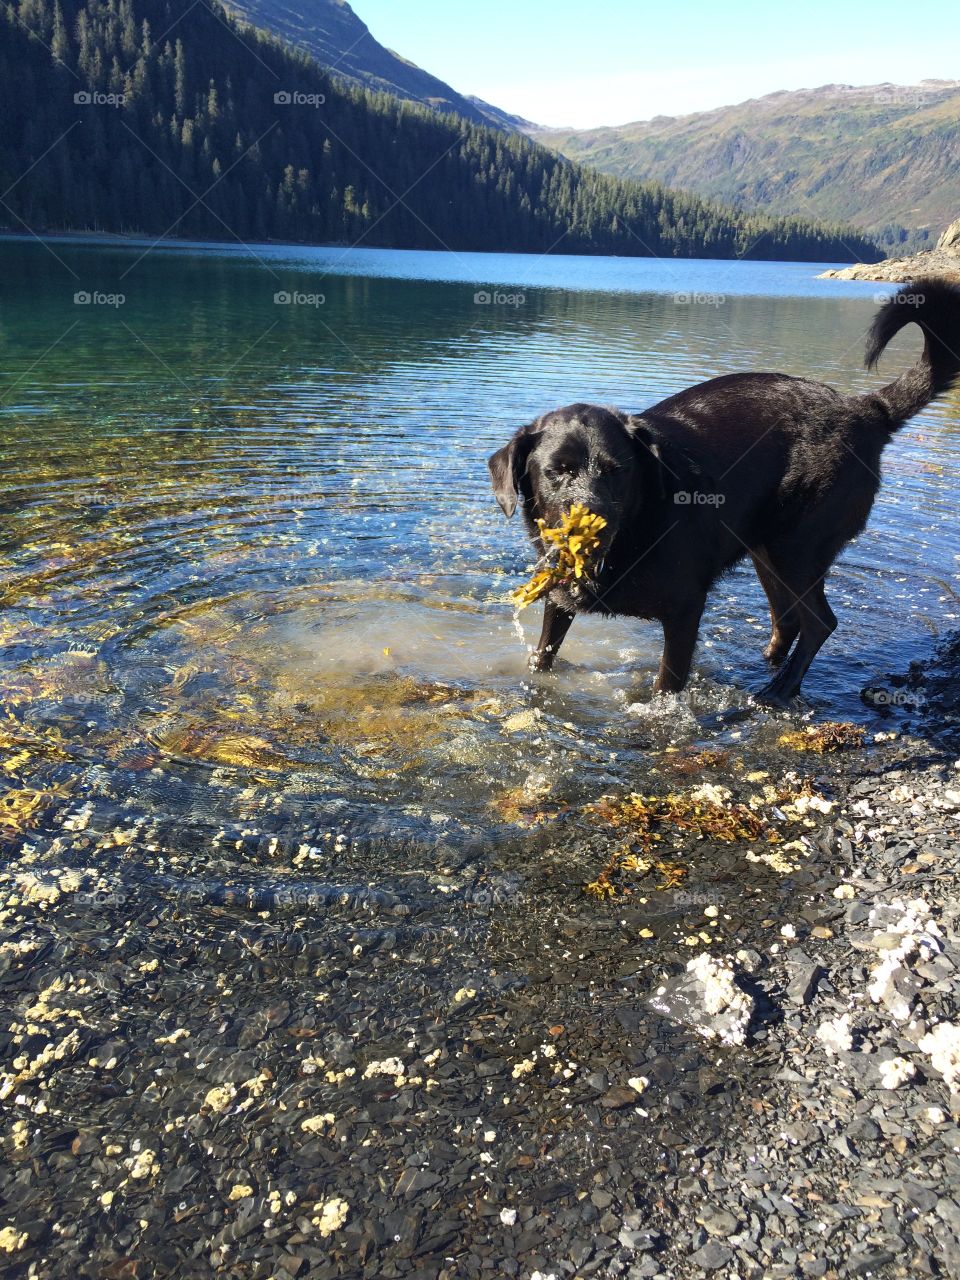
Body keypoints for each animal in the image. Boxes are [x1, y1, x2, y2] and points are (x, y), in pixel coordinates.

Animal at [491, 280, 957, 706]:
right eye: (557, 471)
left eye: (618, 472)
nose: (597, 525)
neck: (637, 527)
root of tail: (864, 409)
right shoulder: (558, 597)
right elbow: (543, 656)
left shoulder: (685, 609)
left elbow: (667, 685)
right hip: (766, 549)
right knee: (788, 619)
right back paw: (768, 667)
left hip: (798, 549)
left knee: (820, 622)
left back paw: (779, 689)